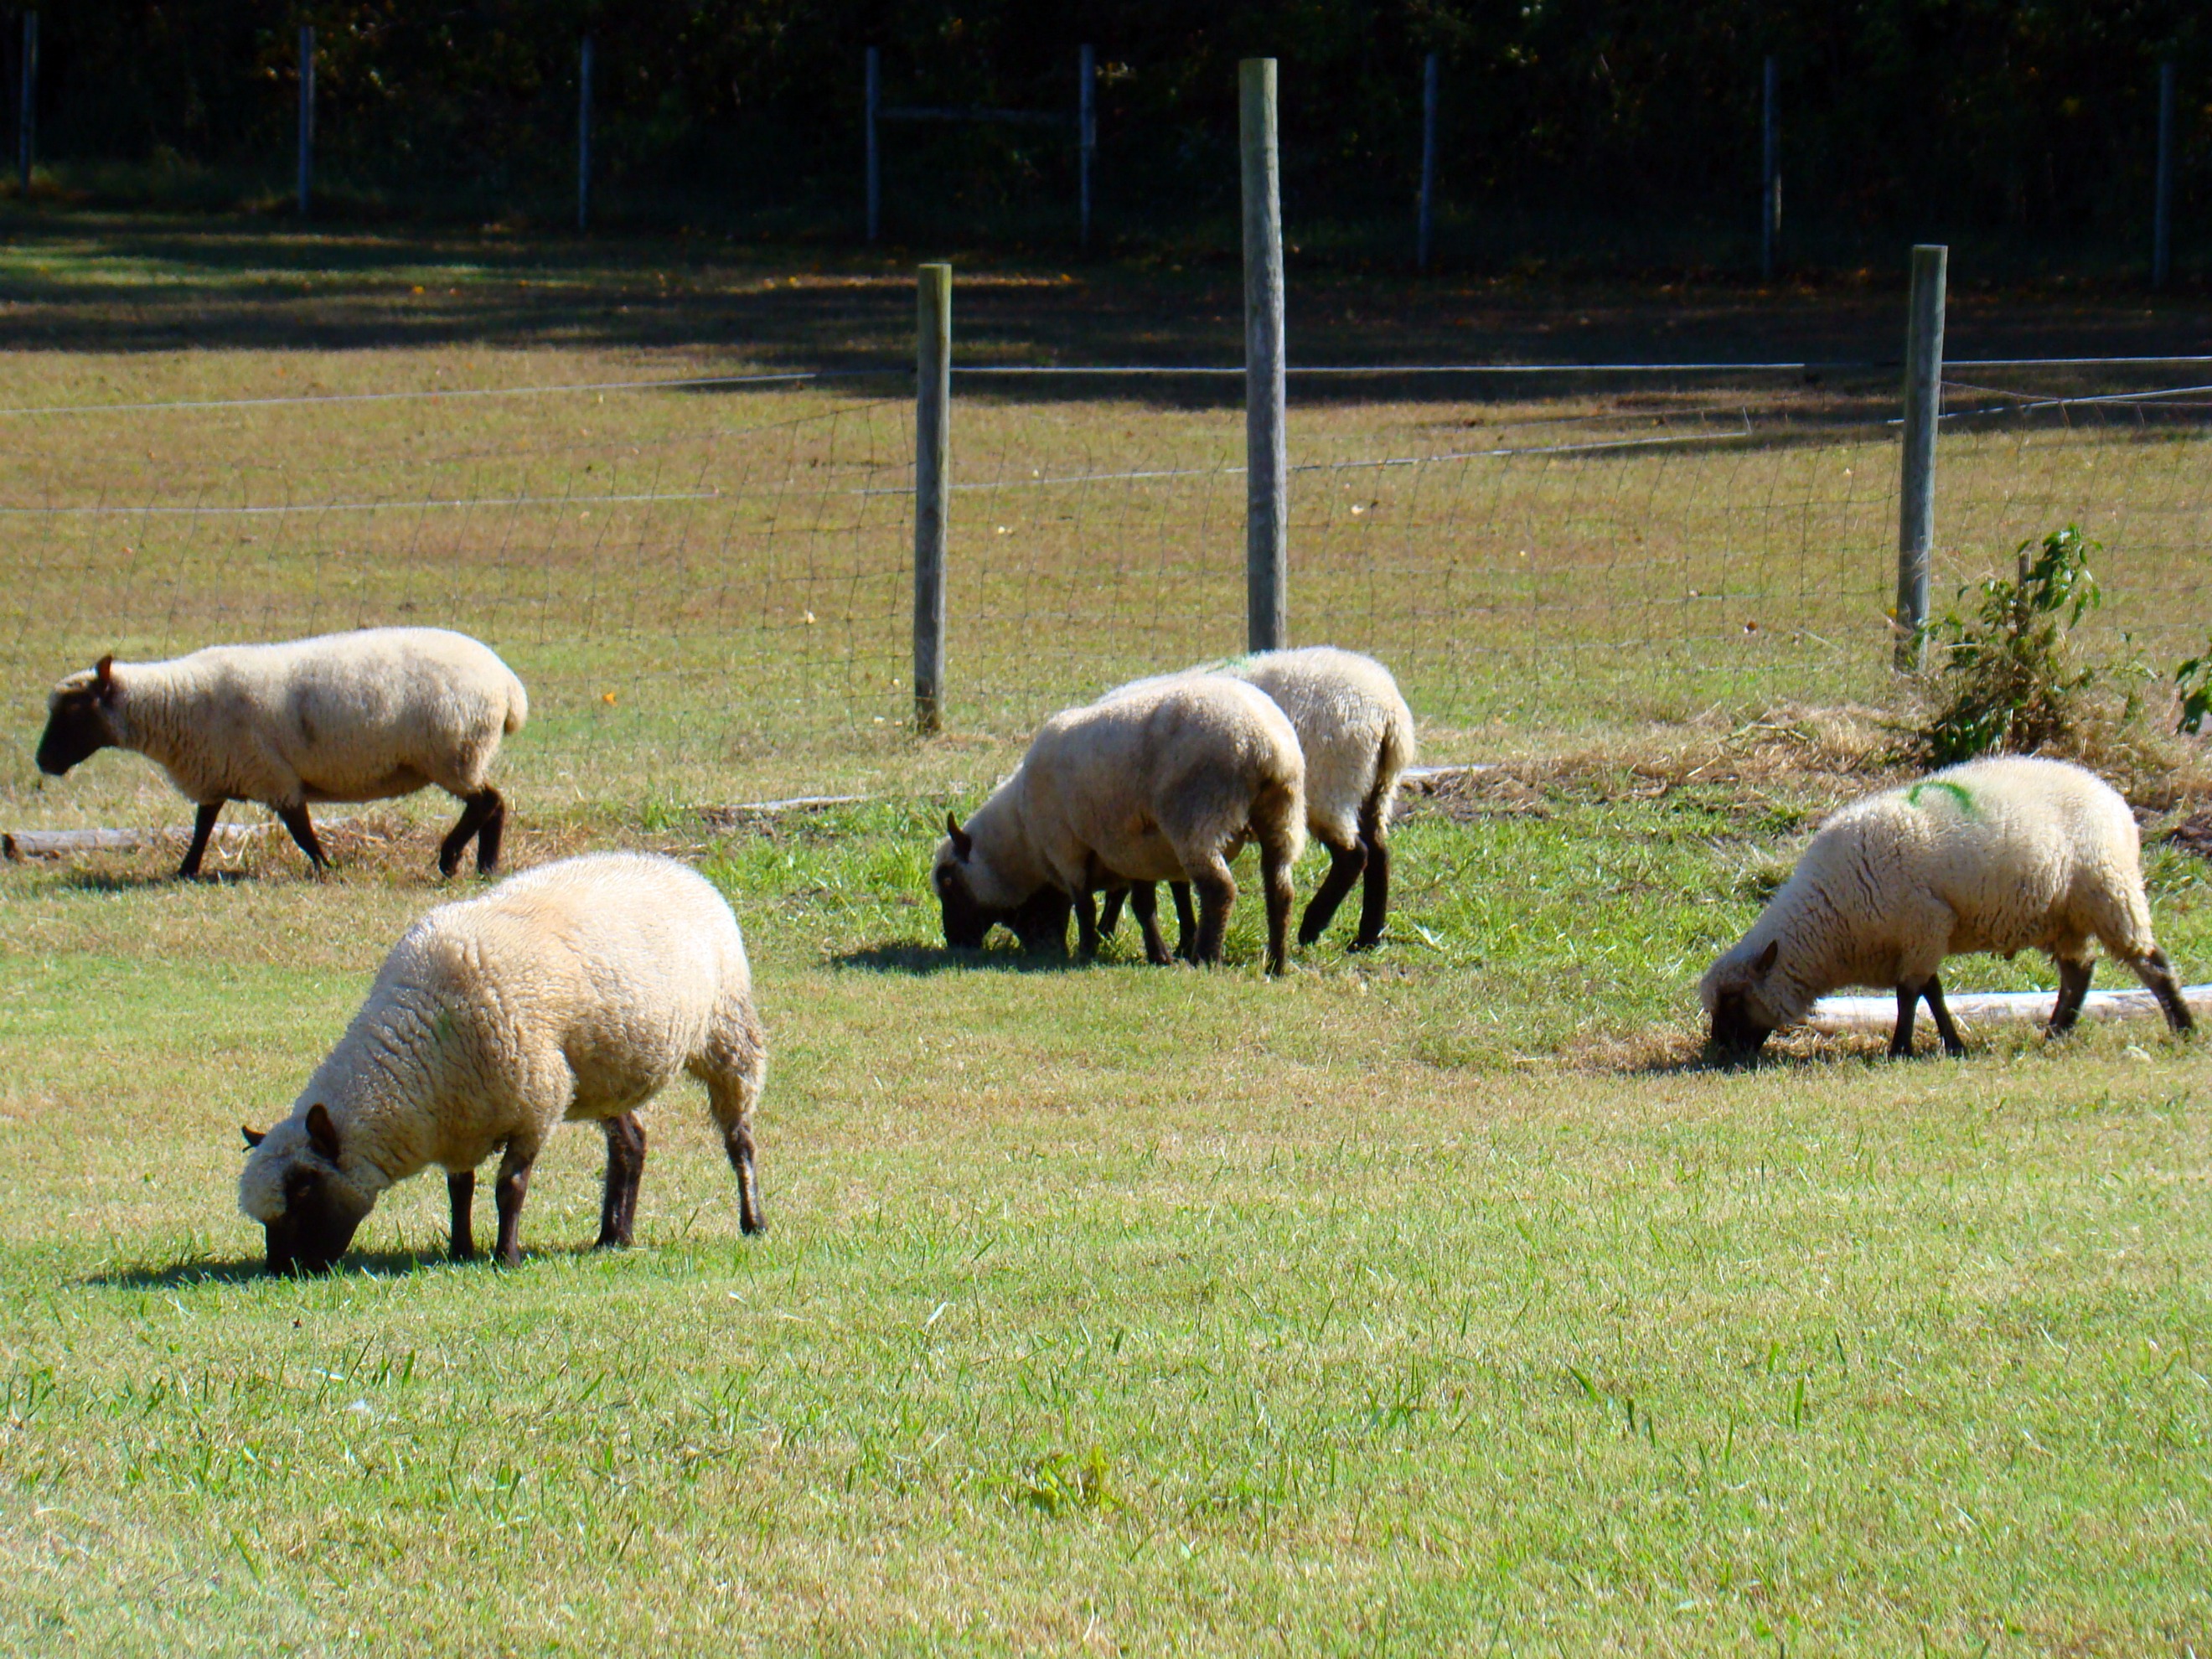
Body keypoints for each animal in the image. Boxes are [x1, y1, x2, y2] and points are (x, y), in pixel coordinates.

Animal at [35, 627, 528, 879]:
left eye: (74, 712)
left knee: (486, 802)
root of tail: (507, 685)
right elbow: (202, 827)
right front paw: (185, 871)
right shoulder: (219, 770)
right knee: (496, 805)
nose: (43, 762)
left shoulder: (271, 774)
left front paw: (329, 868)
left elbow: (301, 831)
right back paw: (486, 866)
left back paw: (451, 859)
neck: (175, 702)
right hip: (461, 753)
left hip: (453, 750)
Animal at [238, 851, 767, 1273]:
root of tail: (675, 865)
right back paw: (613, 1237)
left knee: (738, 1138)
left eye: (303, 1188)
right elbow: (460, 1190)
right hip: (602, 1075)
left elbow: (509, 1187)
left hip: (728, 1034)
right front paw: (460, 1251)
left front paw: (505, 1257)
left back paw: (753, 1222)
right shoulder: (459, 1120)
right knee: (631, 1144)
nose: (282, 1271)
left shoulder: (536, 1103)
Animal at [933, 675, 1307, 974]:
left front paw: (1086, 951)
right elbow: (1142, 906)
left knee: (1220, 890)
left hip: (1200, 816)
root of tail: (1266, 745)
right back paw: (1277, 963)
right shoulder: (1134, 851)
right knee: (1280, 890)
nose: (954, 942)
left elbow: (1085, 905)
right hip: (1283, 815)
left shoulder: (1067, 847)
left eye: (948, 881)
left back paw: (1206, 957)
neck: (1023, 838)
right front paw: (1157, 954)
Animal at [1097, 647, 1416, 954]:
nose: (1103, 934)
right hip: (1376, 787)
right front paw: (1183, 939)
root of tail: (1389, 711)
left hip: (1331, 785)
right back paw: (1367, 938)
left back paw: (1313, 925)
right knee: (1379, 852)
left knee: (1354, 855)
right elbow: (1177, 883)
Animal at [1700, 755, 2195, 1059]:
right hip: (2065, 914)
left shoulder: (1924, 925)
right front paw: (1952, 1044)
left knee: (2151, 962)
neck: (1830, 920)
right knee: (2079, 972)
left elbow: (1909, 994)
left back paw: (2183, 1027)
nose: (1718, 1054)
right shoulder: (1920, 938)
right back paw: (2056, 1031)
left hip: (2109, 890)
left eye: (1734, 1000)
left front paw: (1901, 1049)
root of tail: (2110, 795)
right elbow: (1932, 992)